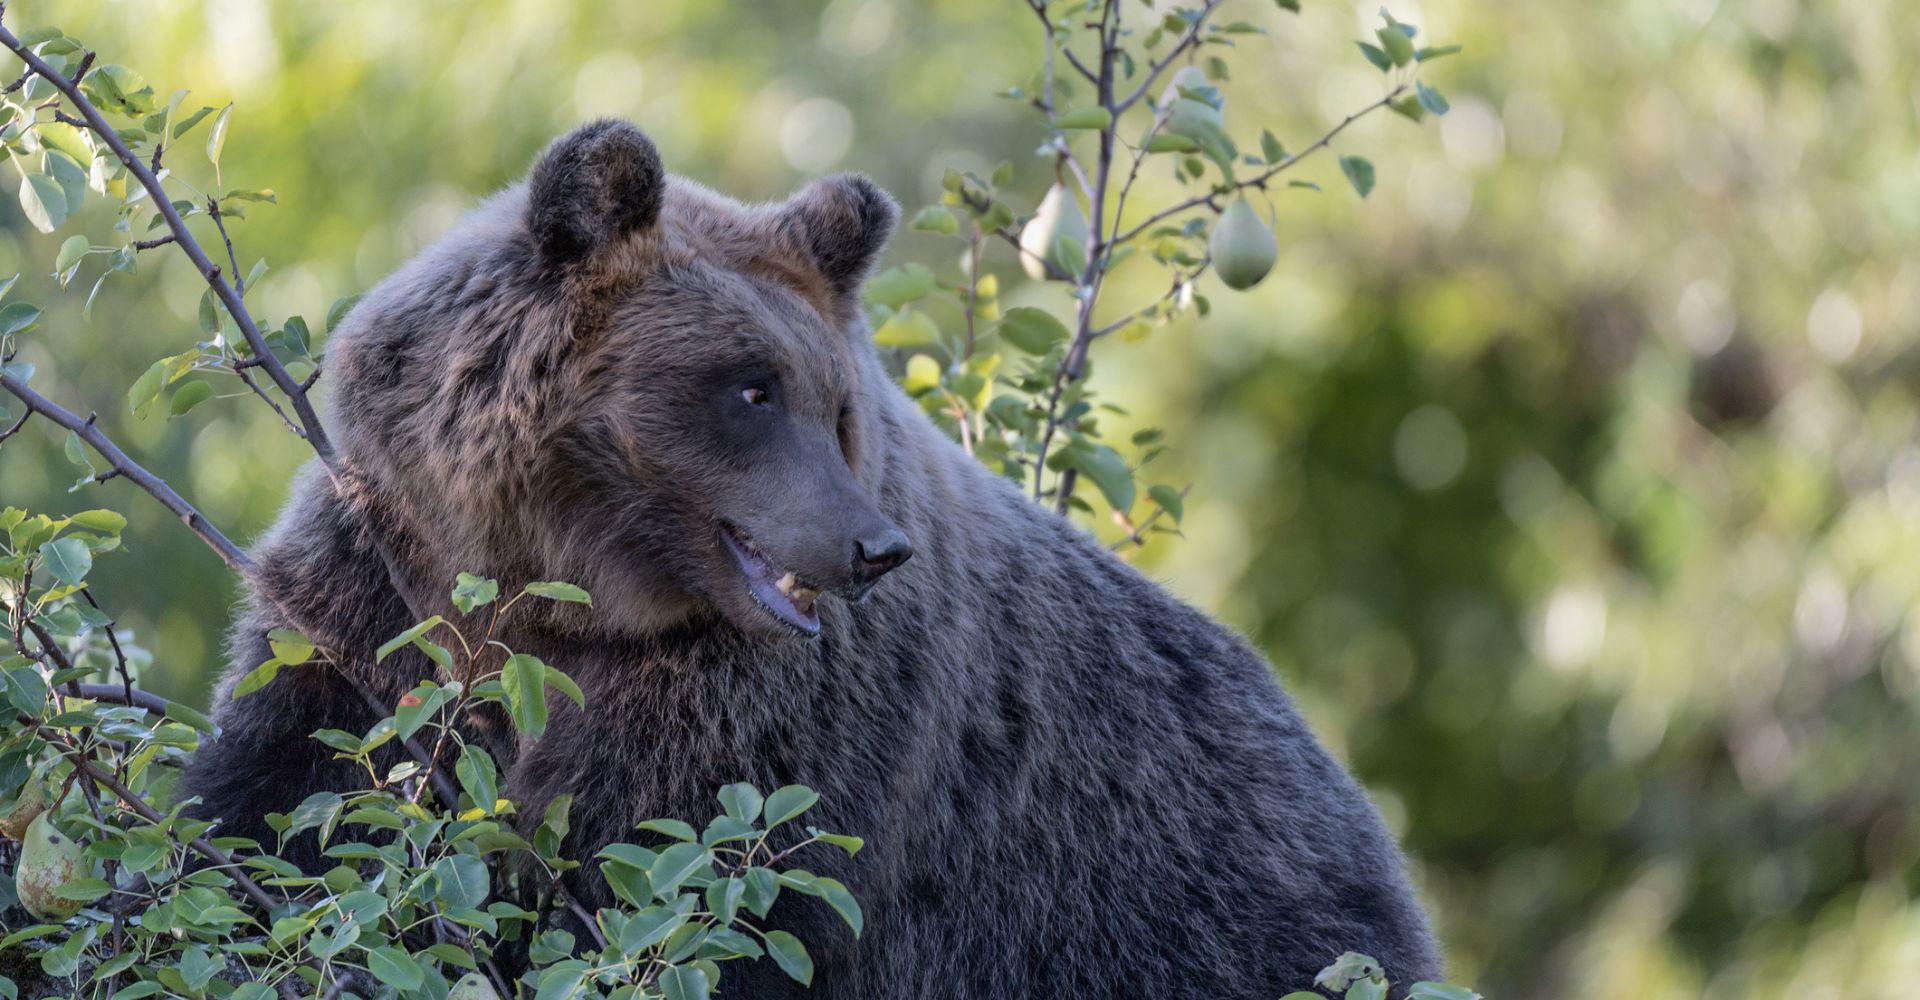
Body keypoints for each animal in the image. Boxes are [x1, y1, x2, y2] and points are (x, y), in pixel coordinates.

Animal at [183, 119, 1443, 998]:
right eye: (751, 388)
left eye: (835, 404)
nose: (871, 546)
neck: (561, 596)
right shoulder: (373, 588)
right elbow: (283, 796)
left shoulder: (769, 720)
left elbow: (678, 885)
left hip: (1198, 902)